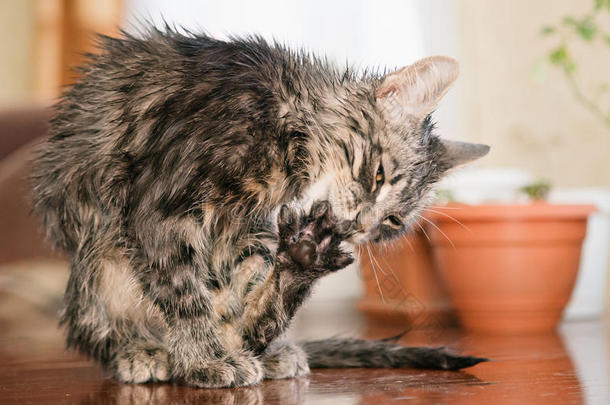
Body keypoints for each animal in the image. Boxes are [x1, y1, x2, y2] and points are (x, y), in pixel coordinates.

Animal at [29, 26, 490, 386]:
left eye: (392, 222)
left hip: (254, 238)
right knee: (100, 328)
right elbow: (184, 294)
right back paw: (145, 352)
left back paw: (292, 288)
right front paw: (205, 359)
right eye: (377, 175)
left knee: (247, 313)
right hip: (100, 259)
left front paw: (224, 350)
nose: (361, 225)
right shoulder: (156, 208)